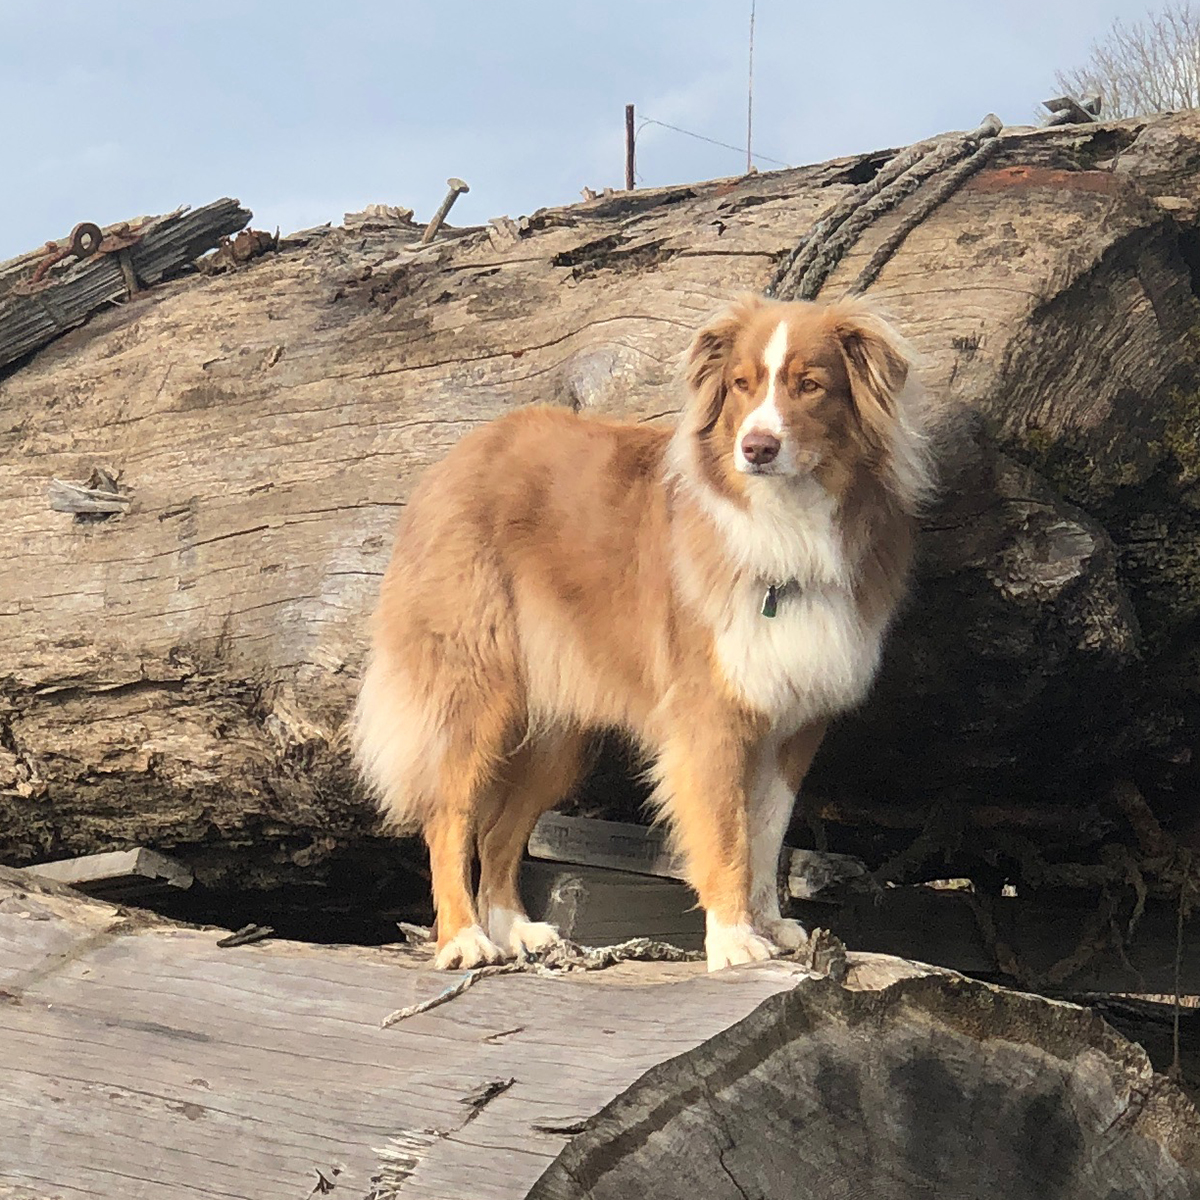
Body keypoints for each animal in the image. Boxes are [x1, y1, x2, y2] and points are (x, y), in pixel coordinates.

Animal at [350, 295, 931, 969]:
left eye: (810, 386)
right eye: (742, 385)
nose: (757, 448)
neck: (785, 523)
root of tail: (454, 457)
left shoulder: (795, 721)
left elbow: (766, 830)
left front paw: (766, 922)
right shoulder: (711, 716)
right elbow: (726, 831)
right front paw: (733, 939)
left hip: (559, 735)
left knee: (498, 832)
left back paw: (516, 928)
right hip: (478, 689)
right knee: (450, 814)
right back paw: (465, 939)